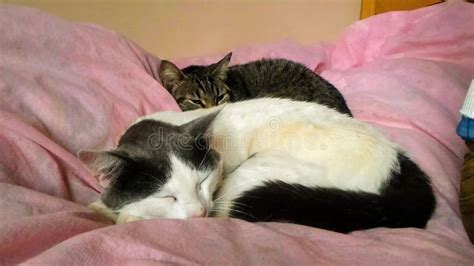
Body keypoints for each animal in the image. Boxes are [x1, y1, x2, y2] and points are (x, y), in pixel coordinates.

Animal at [79, 98, 436, 233]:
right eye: (167, 195)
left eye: (202, 183)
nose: (199, 213)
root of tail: (397, 163)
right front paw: (101, 205)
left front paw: (122, 214)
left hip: (255, 175)